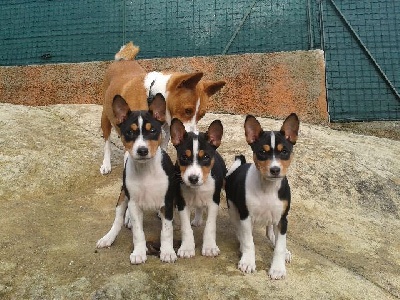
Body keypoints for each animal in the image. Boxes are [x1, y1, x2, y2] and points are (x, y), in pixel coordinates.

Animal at [96, 92, 177, 264]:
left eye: (152, 130)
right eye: (130, 133)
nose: (142, 150)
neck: (146, 170)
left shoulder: (167, 203)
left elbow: (167, 231)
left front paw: (167, 252)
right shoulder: (133, 204)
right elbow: (138, 233)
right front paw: (139, 252)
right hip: (122, 197)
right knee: (118, 220)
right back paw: (108, 237)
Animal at [171, 119, 228, 258]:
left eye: (206, 157)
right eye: (184, 157)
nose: (193, 178)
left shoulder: (214, 202)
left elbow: (210, 227)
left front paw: (209, 247)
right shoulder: (182, 202)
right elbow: (186, 228)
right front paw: (187, 248)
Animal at [225, 112, 300, 278]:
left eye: (284, 152)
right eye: (262, 152)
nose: (275, 170)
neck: (268, 188)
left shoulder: (283, 219)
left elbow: (280, 245)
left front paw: (278, 268)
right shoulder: (245, 216)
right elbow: (249, 242)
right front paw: (248, 261)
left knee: (271, 232)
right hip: (233, 211)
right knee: (239, 231)